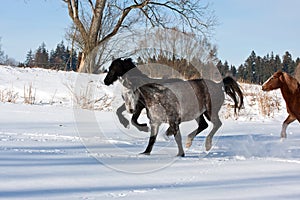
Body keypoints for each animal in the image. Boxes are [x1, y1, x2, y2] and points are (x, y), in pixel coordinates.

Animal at [103, 57, 244, 156]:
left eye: (112, 68)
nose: (106, 81)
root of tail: (219, 85)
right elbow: (124, 114)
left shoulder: (141, 107)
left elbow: (134, 120)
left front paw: (144, 128)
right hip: (198, 113)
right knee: (204, 125)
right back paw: (189, 141)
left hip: (210, 112)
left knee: (216, 124)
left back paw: (206, 144)